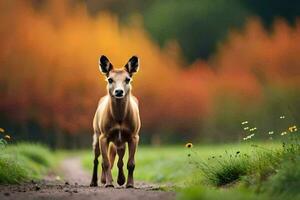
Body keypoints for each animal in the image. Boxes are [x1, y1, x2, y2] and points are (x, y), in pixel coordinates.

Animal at [89, 55, 141, 188]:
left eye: (128, 79)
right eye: (110, 79)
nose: (118, 91)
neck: (119, 119)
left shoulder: (134, 136)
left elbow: (131, 163)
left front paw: (129, 184)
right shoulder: (103, 136)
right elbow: (106, 162)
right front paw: (108, 183)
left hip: (120, 142)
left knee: (119, 159)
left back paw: (120, 180)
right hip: (96, 134)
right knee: (96, 159)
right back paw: (94, 182)